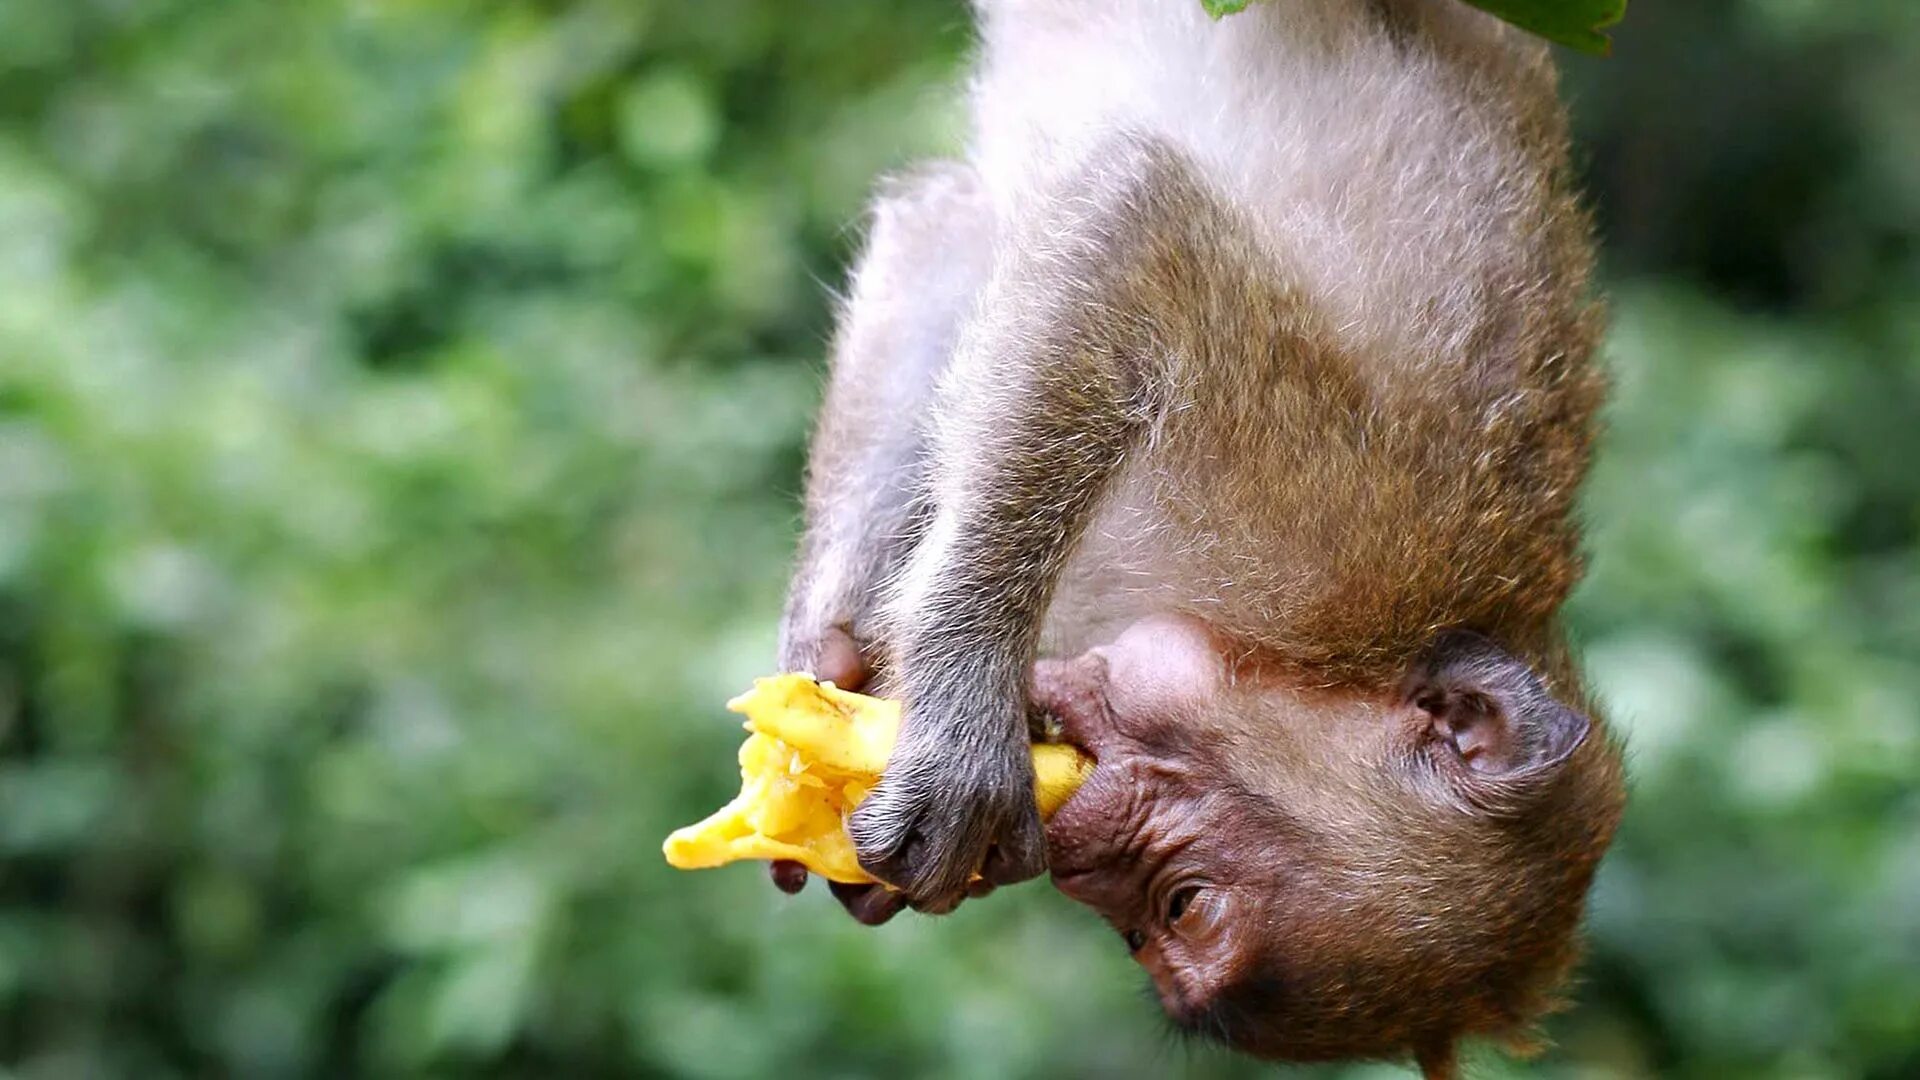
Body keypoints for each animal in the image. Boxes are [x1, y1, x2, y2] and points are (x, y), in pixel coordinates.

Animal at [764, 0, 1620, 1068]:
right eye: (1190, 901)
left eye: (1156, 922)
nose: (1086, 870)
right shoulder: (1332, 531)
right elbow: (1133, 223)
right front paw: (959, 708)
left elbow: (952, 222)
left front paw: (832, 657)